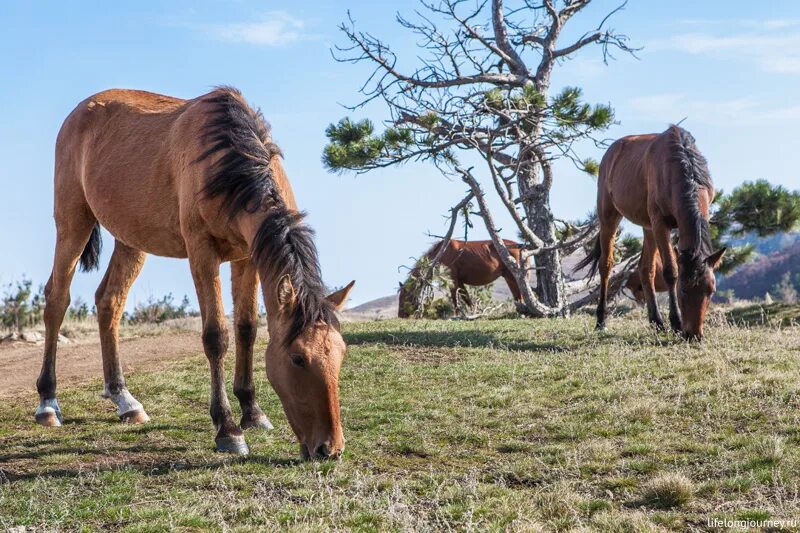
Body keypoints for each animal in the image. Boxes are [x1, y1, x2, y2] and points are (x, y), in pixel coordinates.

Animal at [34, 87, 354, 458]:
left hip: (131, 240)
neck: (228, 158)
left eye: (341, 353)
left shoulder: (248, 256)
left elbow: (247, 328)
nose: (330, 448)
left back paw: (124, 399)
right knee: (57, 299)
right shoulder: (202, 252)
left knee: (109, 301)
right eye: (298, 358)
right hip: (73, 223)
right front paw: (228, 428)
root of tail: (78, 113)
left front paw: (252, 411)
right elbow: (216, 336)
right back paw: (48, 403)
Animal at [396, 240, 528, 316]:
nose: (400, 315)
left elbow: (455, 298)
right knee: (517, 296)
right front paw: (473, 313)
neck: (443, 251)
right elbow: (467, 299)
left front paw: (458, 315)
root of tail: (522, 247)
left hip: (513, 277)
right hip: (509, 278)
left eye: (404, 296)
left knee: (520, 295)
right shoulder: (460, 282)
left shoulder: (453, 281)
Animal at [576, 125, 724, 336]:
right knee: (605, 265)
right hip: (609, 217)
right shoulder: (660, 224)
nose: (693, 334)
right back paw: (601, 320)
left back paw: (657, 321)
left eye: (711, 291)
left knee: (646, 269)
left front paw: (669, 322)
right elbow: (671, 271)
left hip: (647, 227)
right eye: (683, 290)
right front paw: (676, 322)